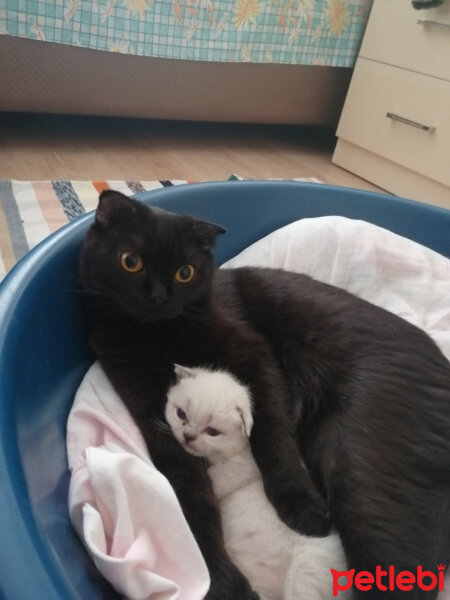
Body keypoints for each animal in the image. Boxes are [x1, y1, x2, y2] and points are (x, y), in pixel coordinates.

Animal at [167, 366, 350, 600]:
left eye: (213, 431)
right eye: (181, 413)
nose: (188, 436)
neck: (237, 451)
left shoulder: (238, 468)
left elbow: (217, 477)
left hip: (304, 575)